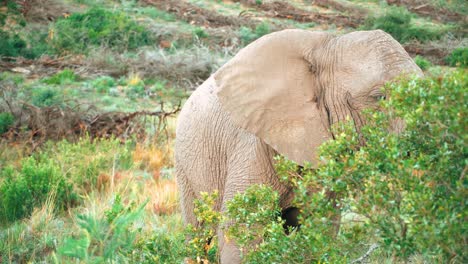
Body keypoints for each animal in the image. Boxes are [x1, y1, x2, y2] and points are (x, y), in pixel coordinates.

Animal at [175, 29, 420, 264]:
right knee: (197, 233)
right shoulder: (251, 145)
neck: (328, 46)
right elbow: (241, 232)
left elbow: (318, 230)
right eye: (379, 97)